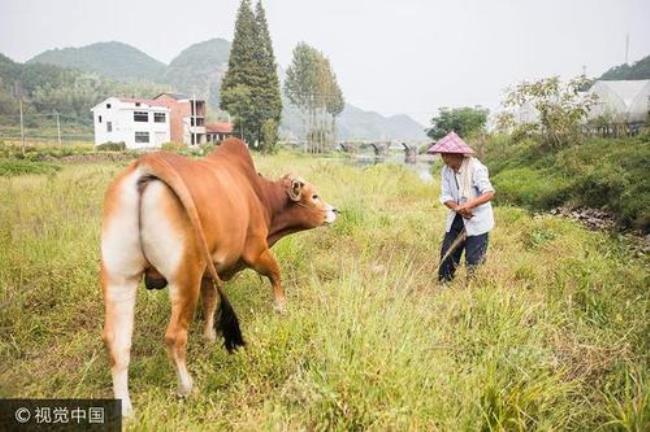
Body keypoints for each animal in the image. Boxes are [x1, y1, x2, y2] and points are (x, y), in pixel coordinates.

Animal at [100, 138, 340, 416]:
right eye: (314, 195)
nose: (335, 211)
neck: (258, 194)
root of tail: (147, 163)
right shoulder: (255, 251)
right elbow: (276, 273)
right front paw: (281, 308)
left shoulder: (208, 271)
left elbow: (211, 301)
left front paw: (209, 338)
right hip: (185, 275)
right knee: (174, 337)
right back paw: (186, 387)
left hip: (119, 277)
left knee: (117, 343)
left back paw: (126, 409)